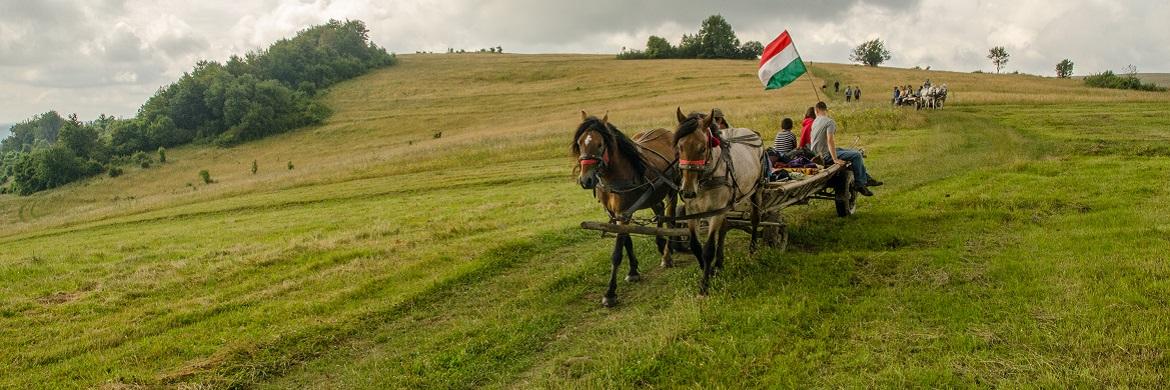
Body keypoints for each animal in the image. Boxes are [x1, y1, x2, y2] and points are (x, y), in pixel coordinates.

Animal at [573, 110, 683, 306]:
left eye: (600, 144)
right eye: (579, 143)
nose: (586, 180)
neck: (614, 177)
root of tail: (665, 132)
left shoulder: (623, 214)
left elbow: (617, 252)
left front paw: (610, 293)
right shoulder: (616, 214)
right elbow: (627, 242)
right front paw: (633, 271)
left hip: (672, 190)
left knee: (670, 220)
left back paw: (667, 255)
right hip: (653, 195)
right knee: (660, 212)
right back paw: (661, 244)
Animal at [673, 107, 762, 295]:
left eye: (702, 148)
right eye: (680, 146)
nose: (688, 191)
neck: (705, 179)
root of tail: (751, 132)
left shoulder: (715, 212)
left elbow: (708, 249)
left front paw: (704, 286)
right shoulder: (693, 211)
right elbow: (695, 245)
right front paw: (710, 270)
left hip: (756, 190)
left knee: (755, 219)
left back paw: (752, 250)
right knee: (724, 228)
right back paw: (720, 263)